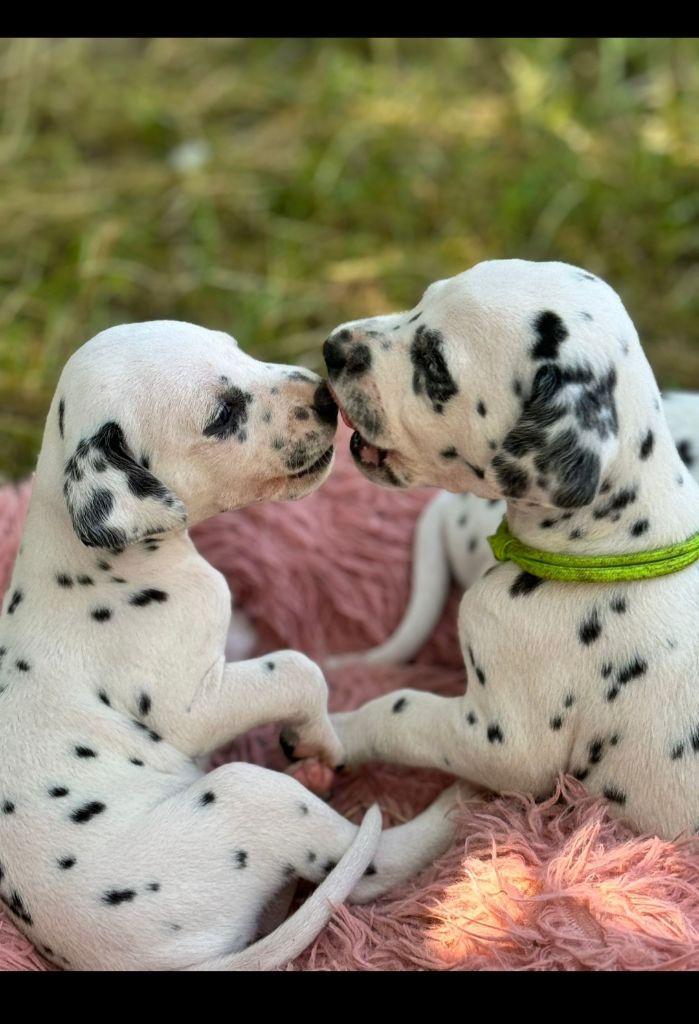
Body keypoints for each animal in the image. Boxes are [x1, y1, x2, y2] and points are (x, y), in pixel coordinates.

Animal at [0, 323, 458, 970]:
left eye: (236, 347)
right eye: (221, 414)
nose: (324, 395)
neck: (89, 562)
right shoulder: (191, 708)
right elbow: (296, 669)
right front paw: (318, 734)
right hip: (248, 795)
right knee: (367, 865)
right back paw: (450, 808)